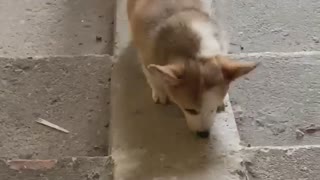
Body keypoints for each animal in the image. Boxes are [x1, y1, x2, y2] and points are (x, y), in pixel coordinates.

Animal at [126, 0, 258, 138]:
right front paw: (160, 91)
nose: (204, 134)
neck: (194, 52)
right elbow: (152, 76)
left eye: (213, 108)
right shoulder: (146, 56)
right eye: (190, 110)